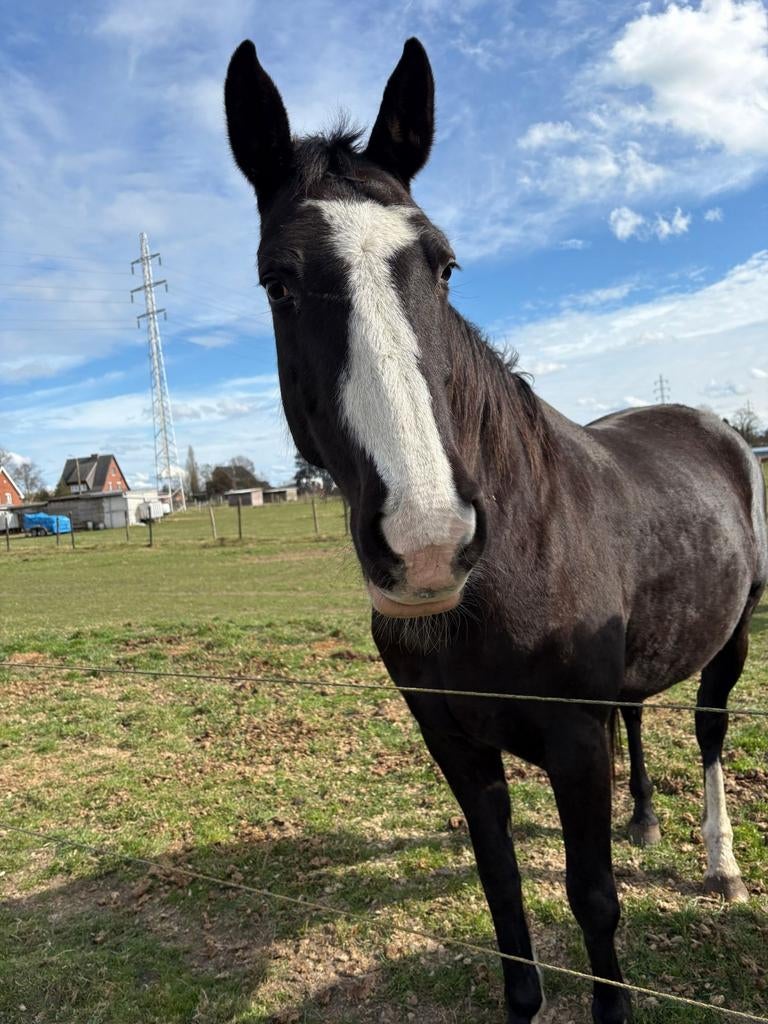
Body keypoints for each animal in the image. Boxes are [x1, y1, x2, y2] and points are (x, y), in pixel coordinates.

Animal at [223, 37, 767, 1024]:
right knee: (640, 709)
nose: (428, 541)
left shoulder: (574, 745)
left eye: (443, 266)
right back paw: (644, 818)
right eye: (278, 281)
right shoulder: (456, 746)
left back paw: (722, 861)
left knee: (709, 730)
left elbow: (593, 899)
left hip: (737, 630)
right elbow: (503, 893)